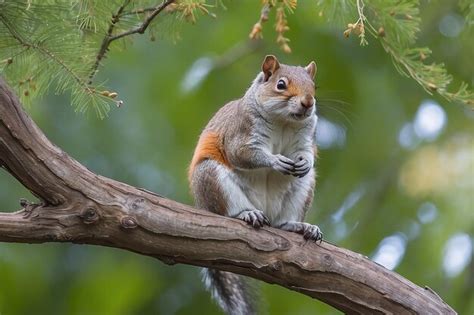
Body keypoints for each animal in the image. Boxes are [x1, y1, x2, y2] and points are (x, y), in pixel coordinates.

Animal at [189, 55, 322, 314]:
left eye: (314, 87)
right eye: (281, 84)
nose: (308, 103)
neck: (284, 121)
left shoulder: (305, 138)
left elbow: (306, 152)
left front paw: (306, 162)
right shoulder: (240, 132)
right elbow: (243, 154)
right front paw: (274, 160)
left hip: (301, 191)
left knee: (281, 223)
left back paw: (299, 226)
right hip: (212, 179)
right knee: (228, 212)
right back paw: (247, 214)